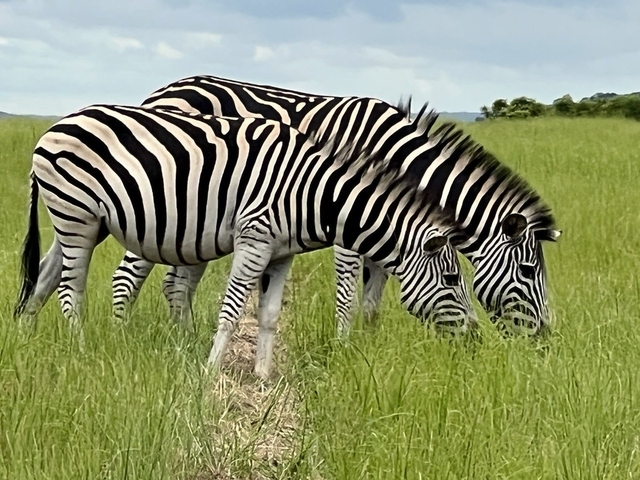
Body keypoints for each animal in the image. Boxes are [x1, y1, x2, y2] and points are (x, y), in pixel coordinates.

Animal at [14, 104, 475, 378]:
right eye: (453, 280)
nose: (476, 340)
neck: (312, 193)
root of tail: (56, 126)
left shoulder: (282, 254)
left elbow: (268, 315)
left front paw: (263, 377)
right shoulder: (255, 238)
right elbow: (232, 311)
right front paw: (210, 372)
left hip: (85, 222)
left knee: (44, 276)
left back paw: (25, 337)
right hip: (75, 215)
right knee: (70, 290)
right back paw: (81, 350)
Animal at [113, 75, 561, 336]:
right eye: (528, 271)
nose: (544, 339)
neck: (395, 158)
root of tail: (161, 91)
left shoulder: (394, 225)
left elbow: (374, 298)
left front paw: (369, 347)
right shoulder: (353, 220)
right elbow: (348, 293)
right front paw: (345, 346)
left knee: (175, 281)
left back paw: (183, 340)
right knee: (129, 275)